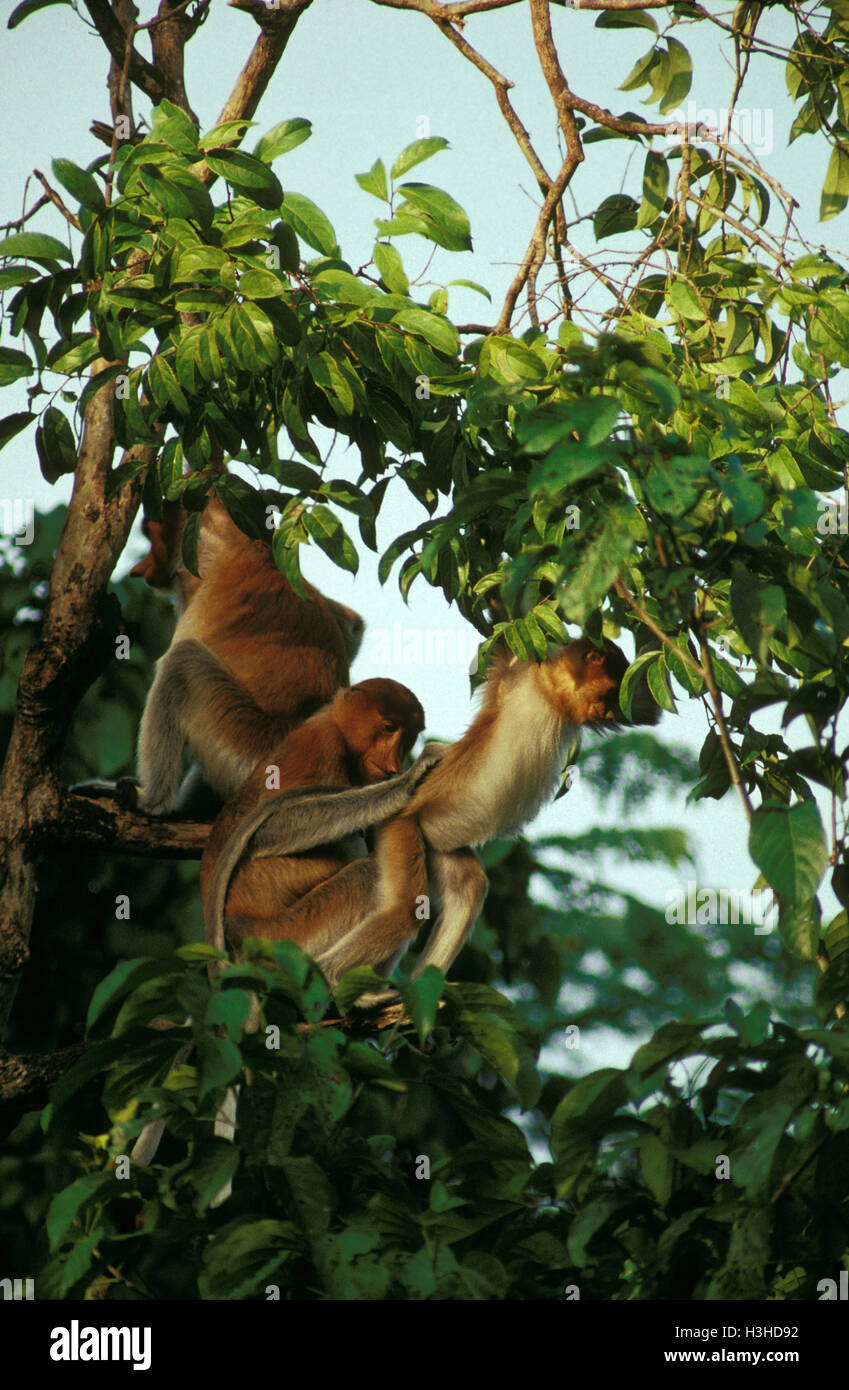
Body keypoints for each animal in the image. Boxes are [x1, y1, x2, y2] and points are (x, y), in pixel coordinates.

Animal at [131, 494, 364, 811]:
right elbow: (352, 627)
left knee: (182, 663)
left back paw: (151, 802)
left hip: (248, 748)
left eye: (152, 536)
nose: (141, 570)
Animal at [204, 636, 664, 1006]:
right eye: (606, 693)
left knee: (469, 887)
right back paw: (344, 983)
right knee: (404, 908)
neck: (552, 697)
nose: (606, 712)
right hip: (403, 827)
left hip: (436, 846)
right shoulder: (520, 675)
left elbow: (648, 712)